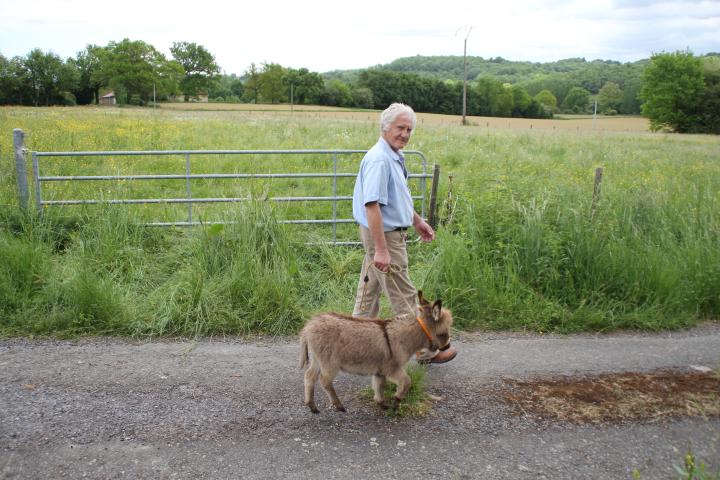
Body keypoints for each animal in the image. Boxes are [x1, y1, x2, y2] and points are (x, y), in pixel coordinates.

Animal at [296, 290, 450, 414]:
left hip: (317, 359)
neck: (405, 336)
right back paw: (338, 406)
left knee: (309, 376)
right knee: (324, 381)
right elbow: (407, 381)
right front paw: (396, 402)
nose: (447, 347)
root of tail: (309, 326)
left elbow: (379, 387)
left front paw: (382, 404)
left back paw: (312, 406)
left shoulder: (380, 370)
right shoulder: (392, 368)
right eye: (442, 333)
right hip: (329, 362)